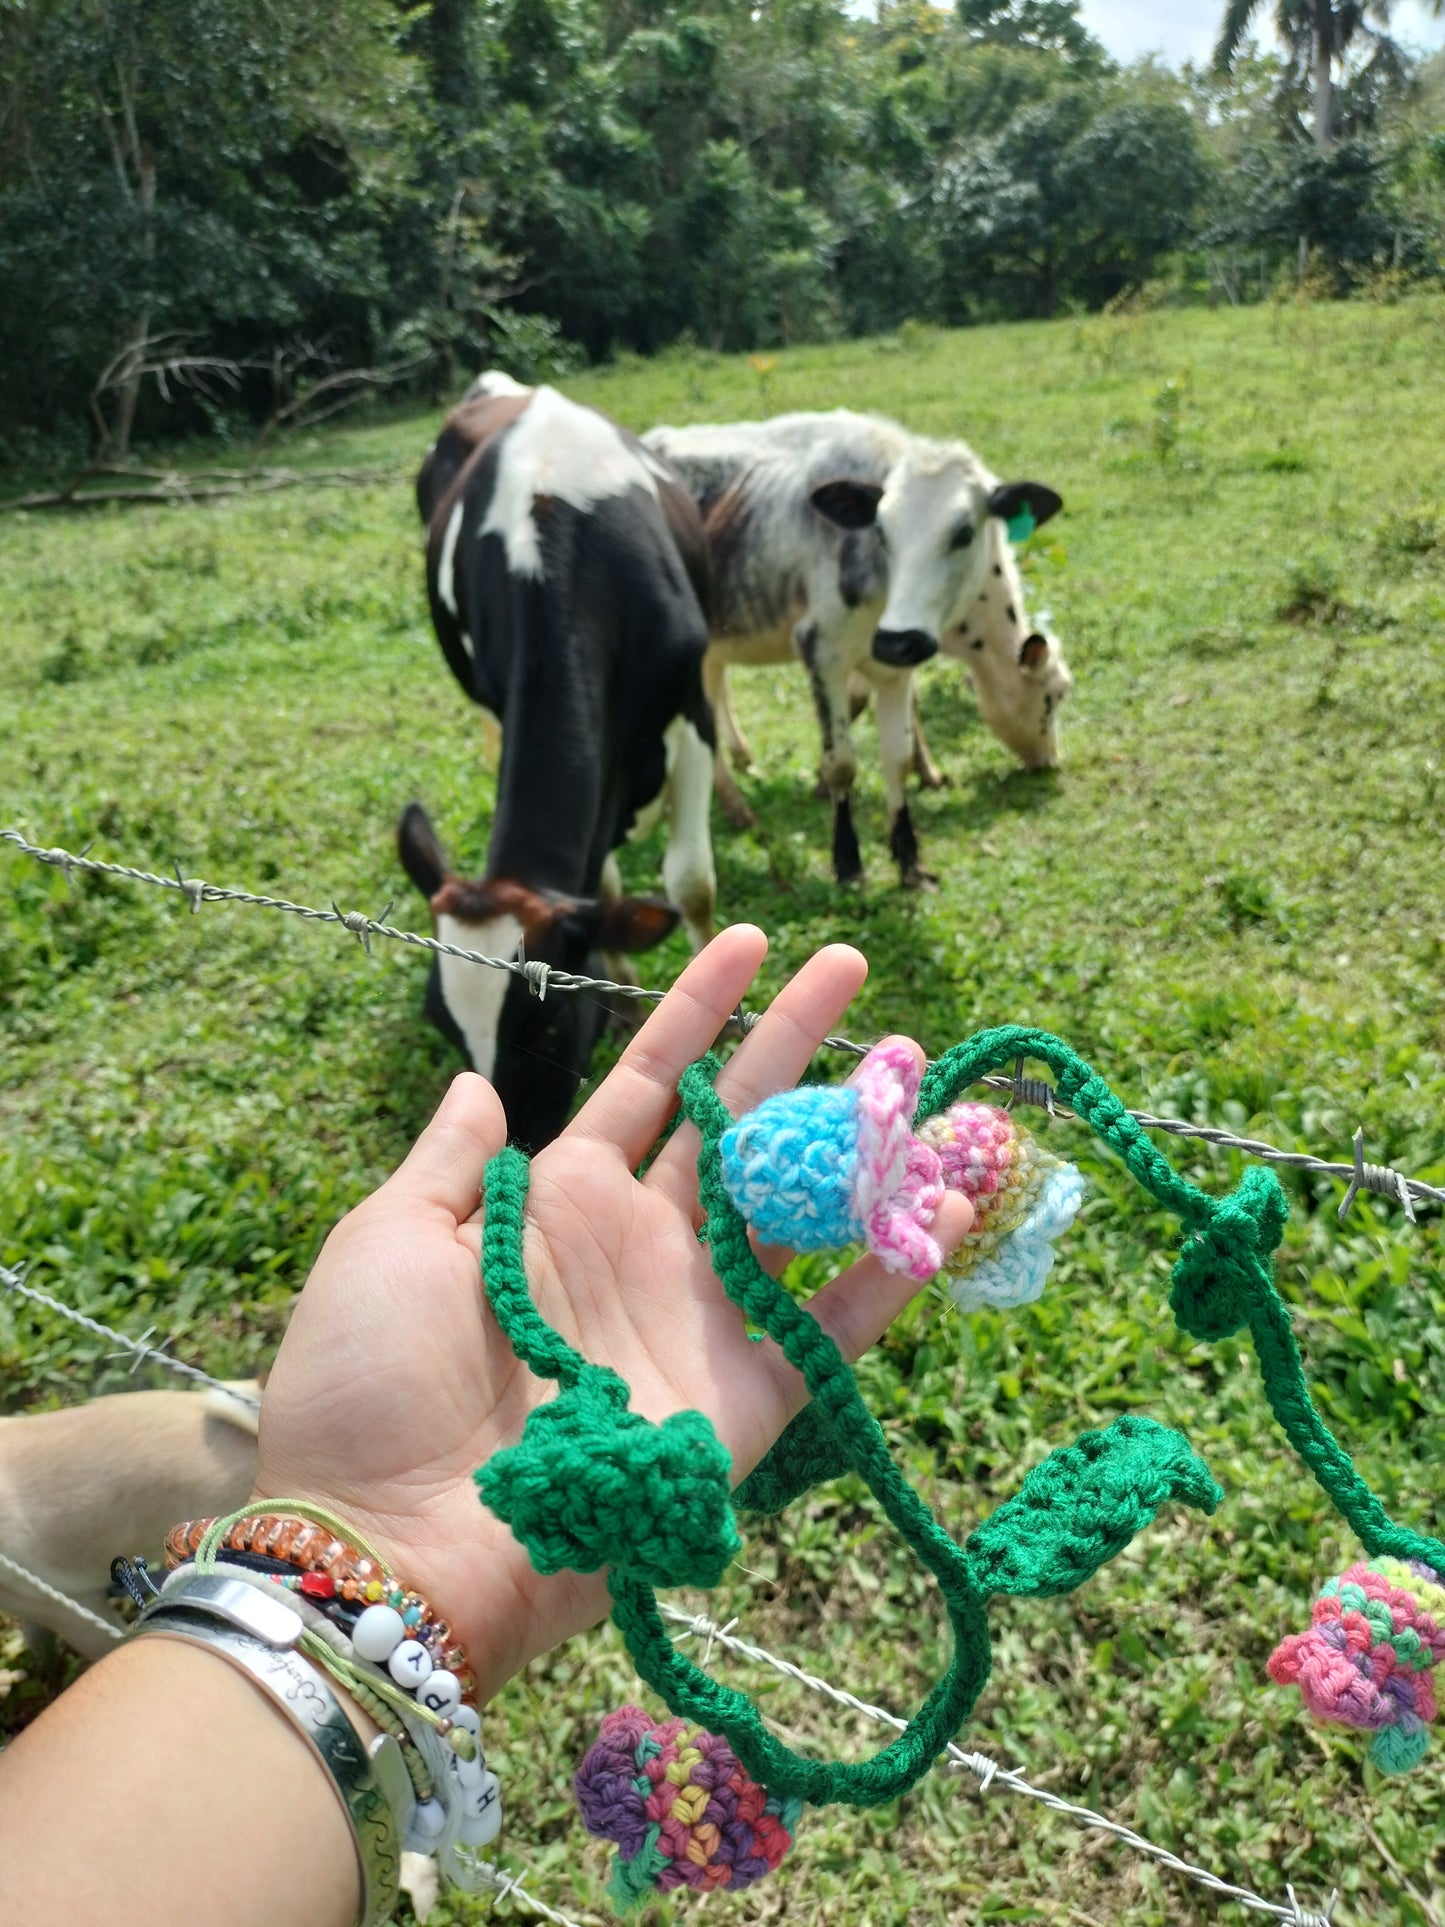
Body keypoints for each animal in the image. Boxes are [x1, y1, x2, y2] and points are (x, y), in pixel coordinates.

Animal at [402, 383, 720, 1148]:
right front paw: (621, 992)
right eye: (446, 1028)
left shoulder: (690, 710)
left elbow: (690, 881)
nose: (506, 1139)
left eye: (544, 1029)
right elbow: (602, 882)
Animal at [651, 412, 1071, 886]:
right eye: (1054, 697)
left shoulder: (898, 658)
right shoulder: (822, 650)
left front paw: (912, 845)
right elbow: (842, 759)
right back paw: (735, 809)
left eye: (964, 532)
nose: (1049, 759)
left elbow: (897, 752)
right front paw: (847, 856)